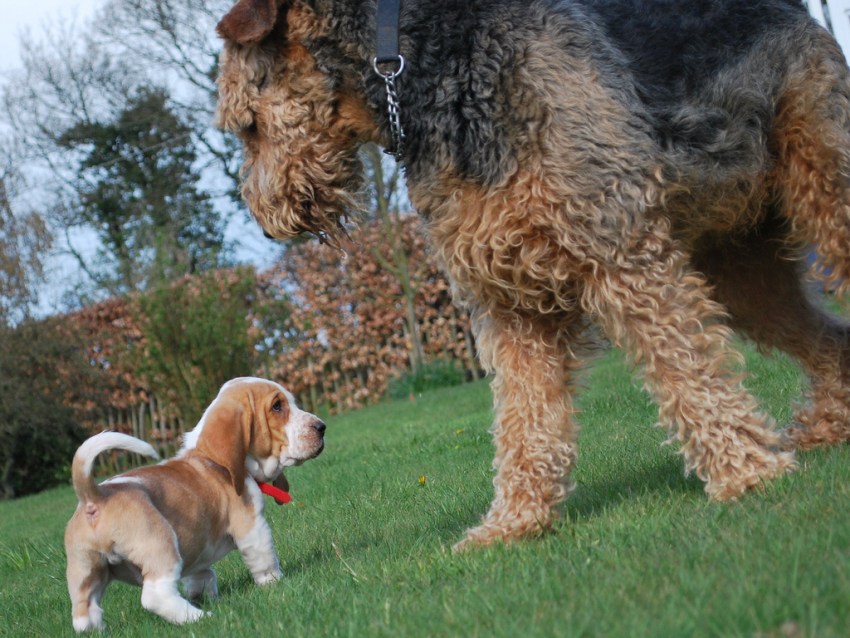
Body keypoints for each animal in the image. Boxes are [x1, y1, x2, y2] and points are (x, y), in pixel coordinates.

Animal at [64, 378, 324, 632]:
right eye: (277, 407)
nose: (322, 427)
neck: (212, 459)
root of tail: (95, 496)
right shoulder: (253, 527)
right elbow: (266, 561)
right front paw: (277, 584)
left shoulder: (198, 548)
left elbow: (203, 574)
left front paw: (205, 595)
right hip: (161, 546)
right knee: (155, 596)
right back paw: (199, 617)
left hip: (87, 571)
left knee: (83, 615)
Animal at [214, 0, 848, 552]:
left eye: (247, 125)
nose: (266, 221)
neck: (431, 69)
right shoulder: (509, 301)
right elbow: (524, 423)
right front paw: (513, 525)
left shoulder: (622, 253)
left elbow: (688, 376)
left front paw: (748, 474)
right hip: (741, 270)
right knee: (829, 339)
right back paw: (825, 427)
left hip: (824, 192)